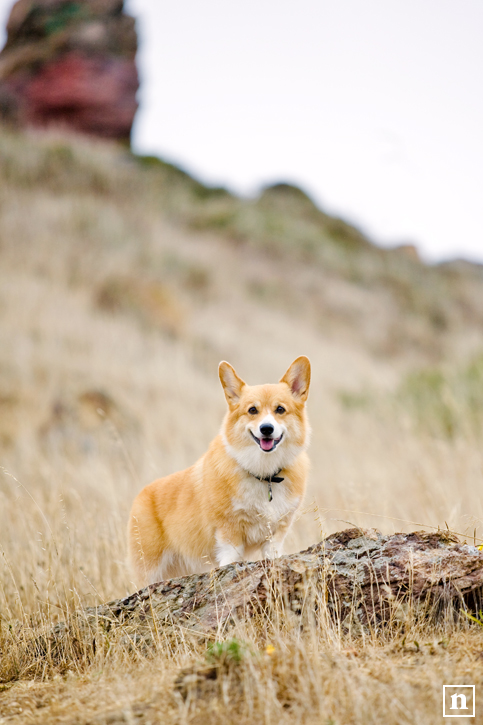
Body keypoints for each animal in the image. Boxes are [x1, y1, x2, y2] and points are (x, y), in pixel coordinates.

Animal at [126, 356, 312, 588]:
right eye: (252, 410)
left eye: (280, 409)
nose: (266, 429)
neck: (263, 473)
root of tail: (141, 495)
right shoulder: (228, 532)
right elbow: (230, 558)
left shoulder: (276, 534)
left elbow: (272, 555)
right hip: (150, 570)